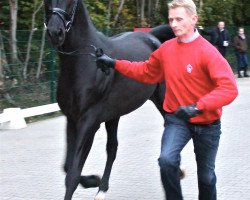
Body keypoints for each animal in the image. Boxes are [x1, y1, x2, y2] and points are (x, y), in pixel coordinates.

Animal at [44, 0, 175, 200]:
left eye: (72, 2)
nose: (55, 32)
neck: (84, 64)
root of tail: (152, 37)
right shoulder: (72, 120)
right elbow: (67, 166)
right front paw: (94, 180)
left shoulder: (89, 123)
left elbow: (72, 175)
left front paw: (91, 180)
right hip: (114, 115)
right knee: (112, 148)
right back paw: (102, 189)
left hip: (162, 99)